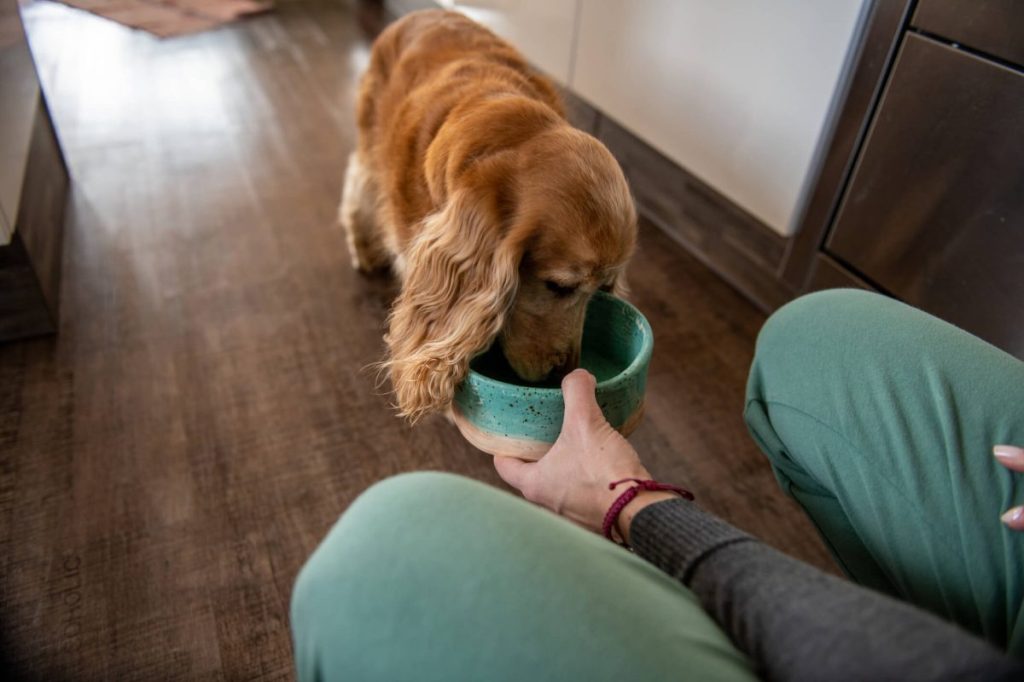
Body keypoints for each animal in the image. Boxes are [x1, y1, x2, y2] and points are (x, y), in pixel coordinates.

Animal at [339, 9, 634, 419]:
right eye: (559, 286)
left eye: (604, 289)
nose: (563, 376)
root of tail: (424, 11)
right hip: (372, 136)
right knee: (359, 178)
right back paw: (364, 249)